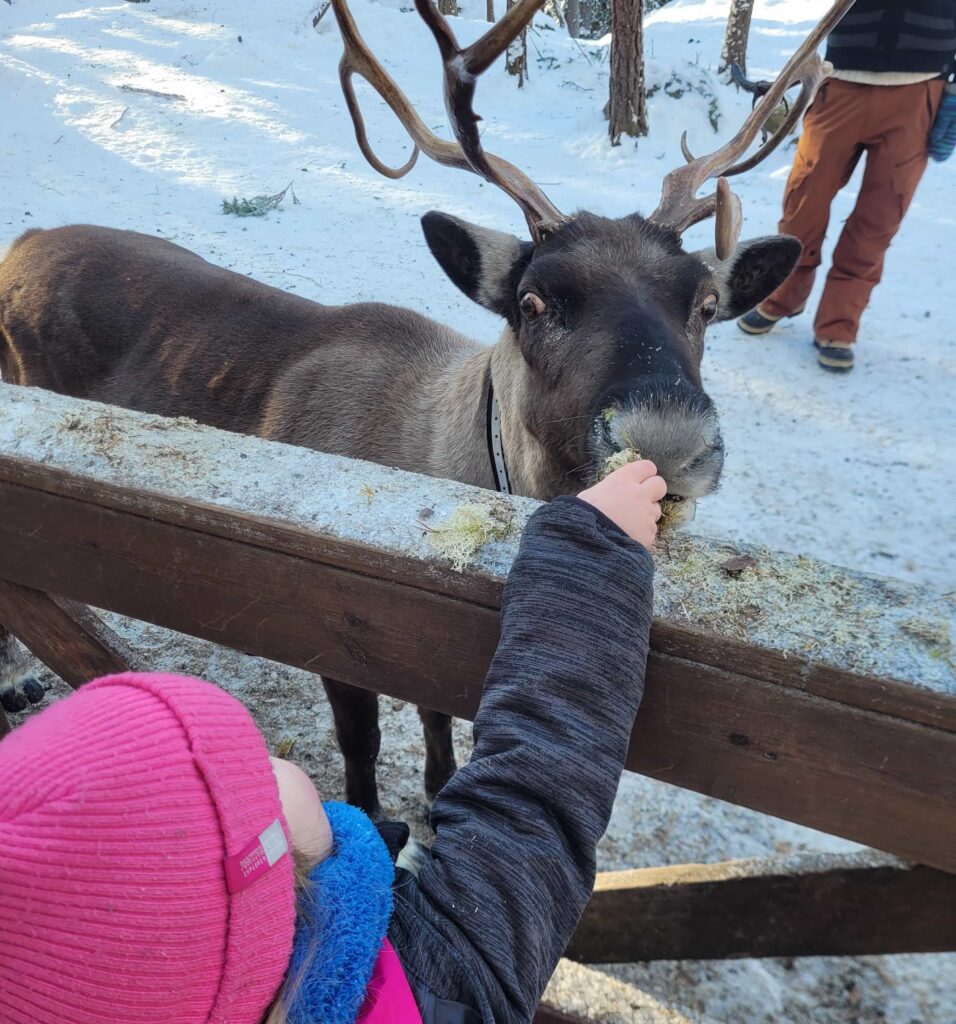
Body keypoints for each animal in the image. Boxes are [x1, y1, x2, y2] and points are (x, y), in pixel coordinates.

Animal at [0, 0, 853, 818]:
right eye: (534, 300)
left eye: (706, 305)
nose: (668, 438)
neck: (447, 461)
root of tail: (23, 243)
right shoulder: (333, 627)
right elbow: (363, 746)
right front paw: (377, 812)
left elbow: (438, 715)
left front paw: (440, 783)